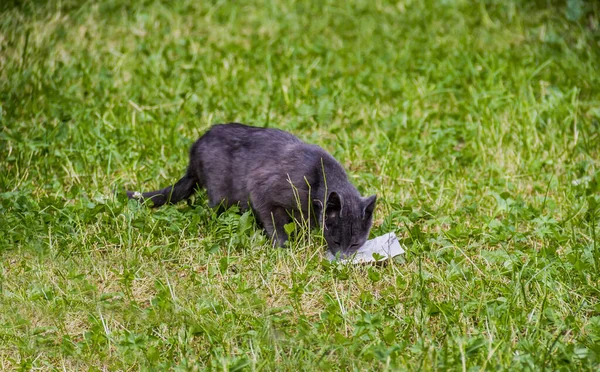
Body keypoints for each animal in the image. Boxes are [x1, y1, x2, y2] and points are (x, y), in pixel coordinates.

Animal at [127, 123, 376, 258]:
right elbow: (275, 223)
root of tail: (195, 150)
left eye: (355, 244)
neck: (319, 178)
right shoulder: (262, 190)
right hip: (221, 195)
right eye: (336, 241)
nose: (343, 258)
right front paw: (282, 247)